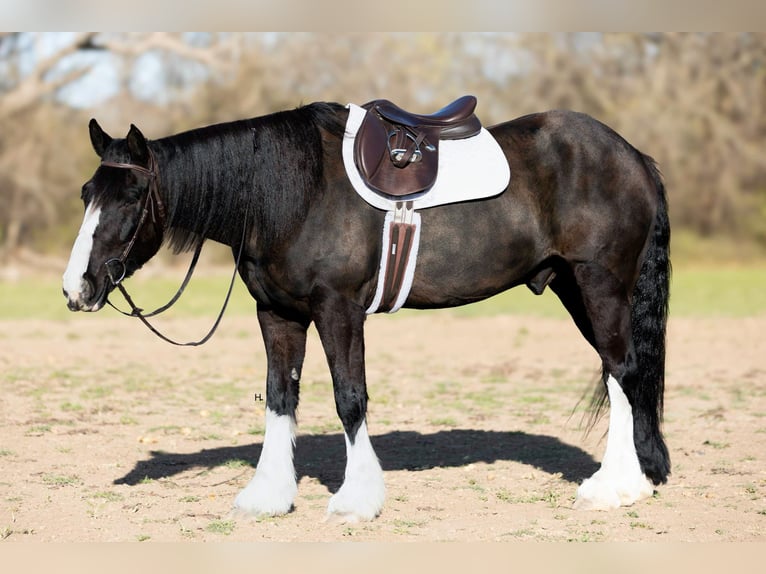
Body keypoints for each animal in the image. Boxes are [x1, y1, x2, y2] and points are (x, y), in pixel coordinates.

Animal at [62, 100, 670, 522]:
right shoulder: (277, 315)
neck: (292, 194)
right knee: (623, 372)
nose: (76, 288)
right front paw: (269, 496)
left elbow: (349, 398)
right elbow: (280, 398)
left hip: (599, 285)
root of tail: (633, 156)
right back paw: (639, 477)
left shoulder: (338, 310)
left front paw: (357, 500)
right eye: (86, 193)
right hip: (574, 288)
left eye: (129, 198)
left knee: (622, 371)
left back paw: (615, 487)